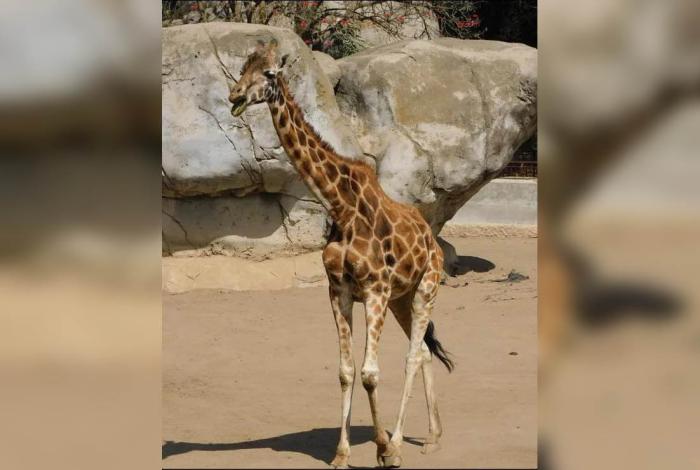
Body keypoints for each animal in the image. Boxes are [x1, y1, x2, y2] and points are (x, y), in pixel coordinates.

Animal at [228, 39, 454, 469]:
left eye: (269, 74)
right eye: (242, 67)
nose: (234, 96)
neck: (341, 206)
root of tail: (433, 243)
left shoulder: (375, 289)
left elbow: (370, 373)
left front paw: (382, 448)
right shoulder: (340, 290)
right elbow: (346, 372)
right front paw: (341, 453)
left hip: (426, 289)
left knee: (412, 356)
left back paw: (399, 444)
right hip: (401, 299)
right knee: (423, 353)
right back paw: (433, 437)